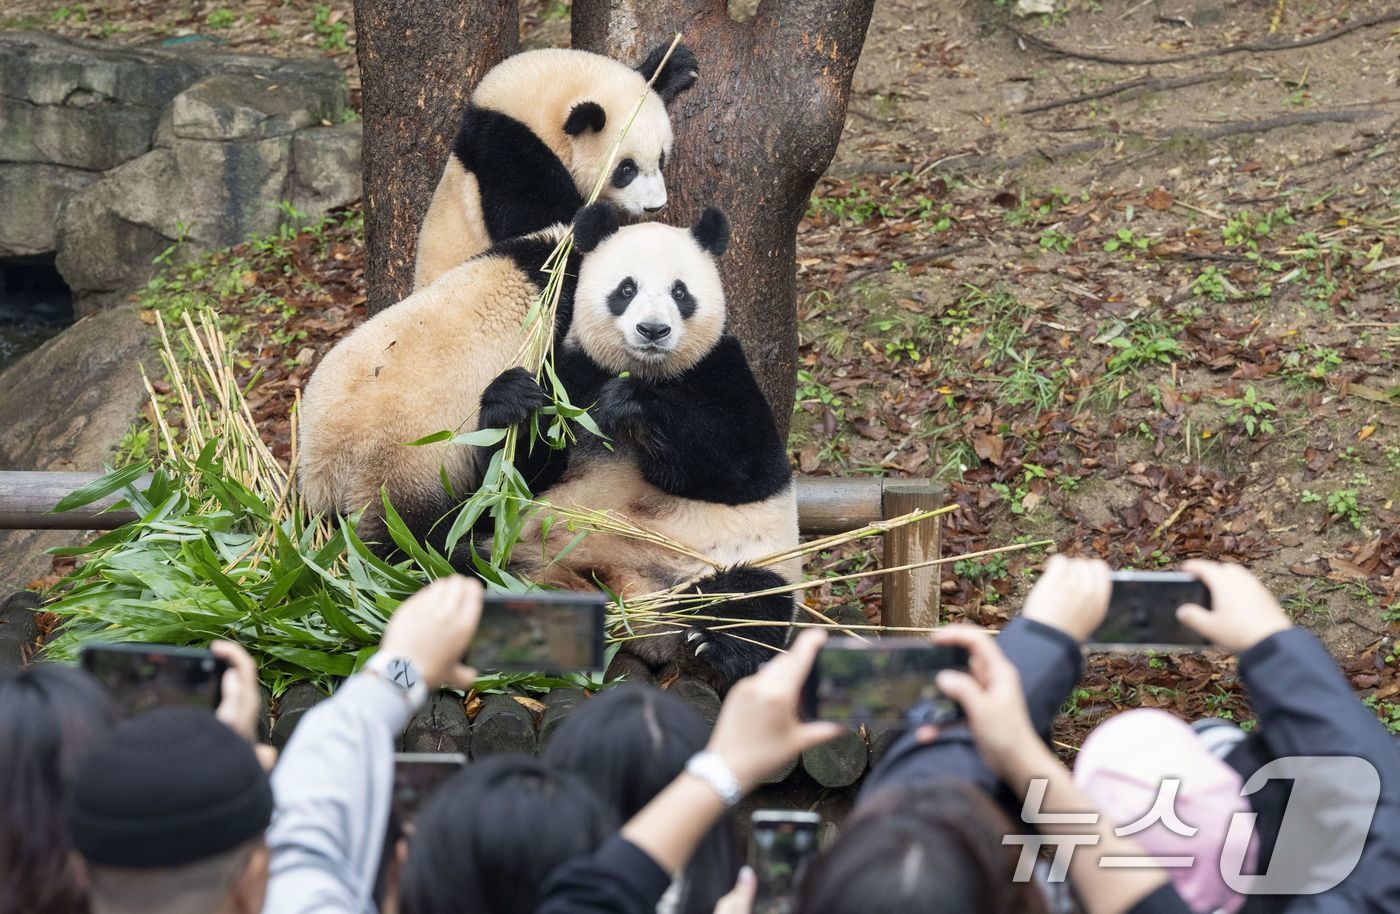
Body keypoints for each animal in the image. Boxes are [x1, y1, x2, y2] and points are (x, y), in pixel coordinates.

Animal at [411, 42, 700, 291]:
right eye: (626, 169)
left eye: (661, 159)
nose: (655, 206)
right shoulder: (508, 151)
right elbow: (537, 226)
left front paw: (675, 63)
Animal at [476, 202, 800, 688]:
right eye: (626, 289)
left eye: (680, 292)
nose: (653, 330)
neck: (642, 369)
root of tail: (642, 622)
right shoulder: (571, 374)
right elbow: (517, 477)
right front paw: (512, 400)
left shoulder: (722, 370)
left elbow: (745, 468)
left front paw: (633, 406)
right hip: (525, 552)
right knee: (466, 570)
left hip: (741, 559)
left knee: (753, 603)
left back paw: (716, 644)